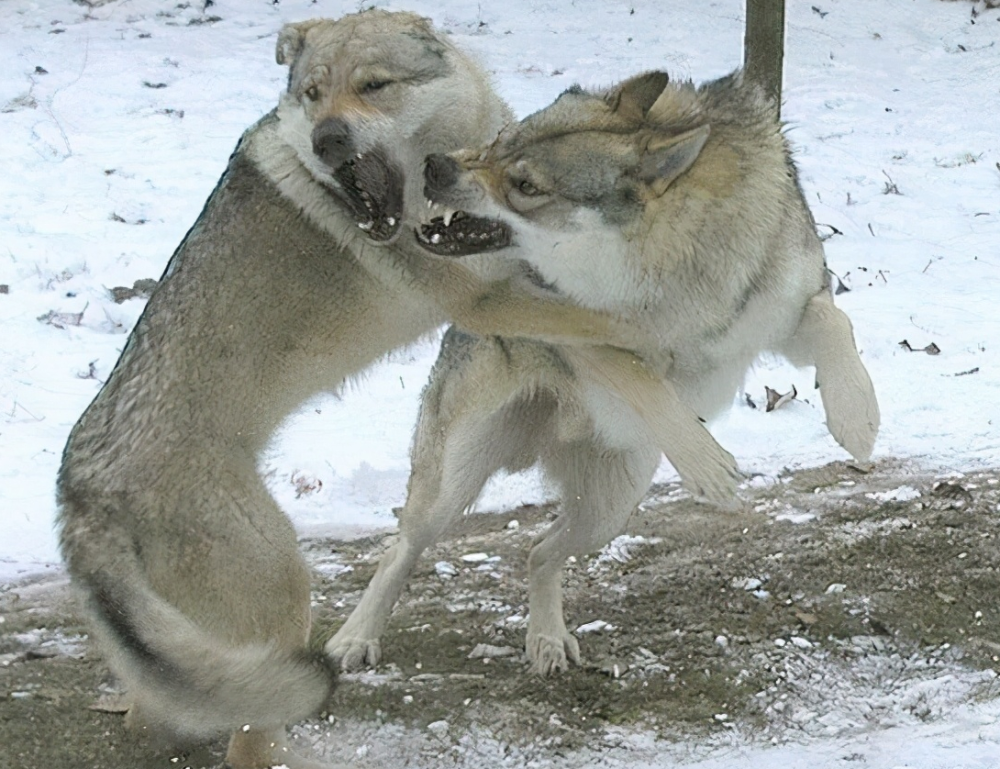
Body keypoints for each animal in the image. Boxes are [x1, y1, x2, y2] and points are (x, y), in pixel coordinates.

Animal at [332, 70, 880, 672]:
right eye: (500, 139)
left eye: (525, 184)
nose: (435, 166)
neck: (672, 270)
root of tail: (552, 436)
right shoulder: (572, 331)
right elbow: (639, 375)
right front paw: (707, 465)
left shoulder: (793, 308)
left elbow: (837, 326)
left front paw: (857, 419)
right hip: (453, 485)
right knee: (402, 549)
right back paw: (356, 637)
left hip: (609, 509)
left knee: (538, 553)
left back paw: (546, 638)